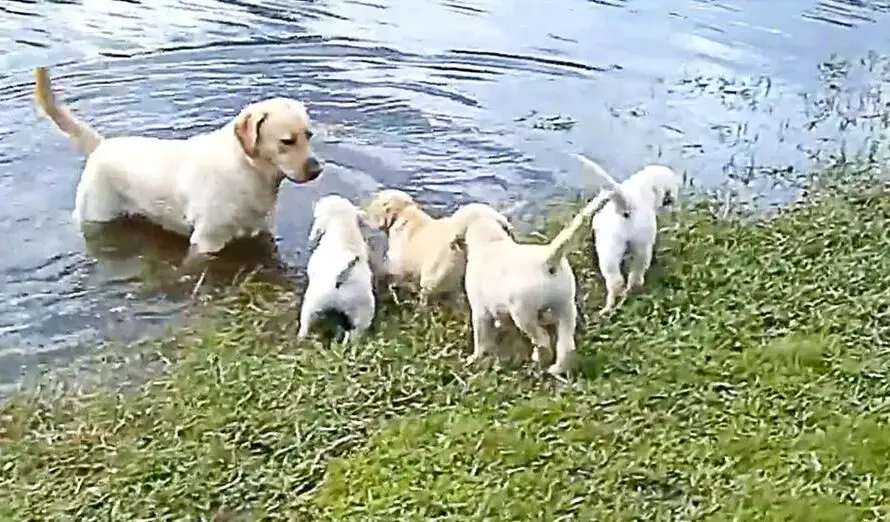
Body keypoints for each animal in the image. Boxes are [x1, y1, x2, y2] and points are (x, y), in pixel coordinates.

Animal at [36, 65, 326, 256]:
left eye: (309, 135)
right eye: (286, 141)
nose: (317, 168)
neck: (248, 170)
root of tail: (101, 144)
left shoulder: (261, 229)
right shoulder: (207, 240)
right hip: (98, 215)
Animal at [294, 193, 372, 344]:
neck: (343, 225)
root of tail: (341, 278)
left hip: (312, 300)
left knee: (305, 322)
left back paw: (301, 336)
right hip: (363, 312)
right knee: (355, 334)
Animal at [450, 194, 604, 374]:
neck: (490, 240)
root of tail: (547, 259)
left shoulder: (480, 312)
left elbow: (481, 339)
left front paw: (475, 358)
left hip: (523, 313)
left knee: (542, 339)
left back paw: (539, 359)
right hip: (565, 307)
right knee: (566, 346)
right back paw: (556, 369)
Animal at [568, 153, 680, 312]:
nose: (672, 205)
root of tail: (626, 206)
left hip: (611, 251)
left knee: (619, 281)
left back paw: (609, 307)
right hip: (638, 249)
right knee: (633, 278)